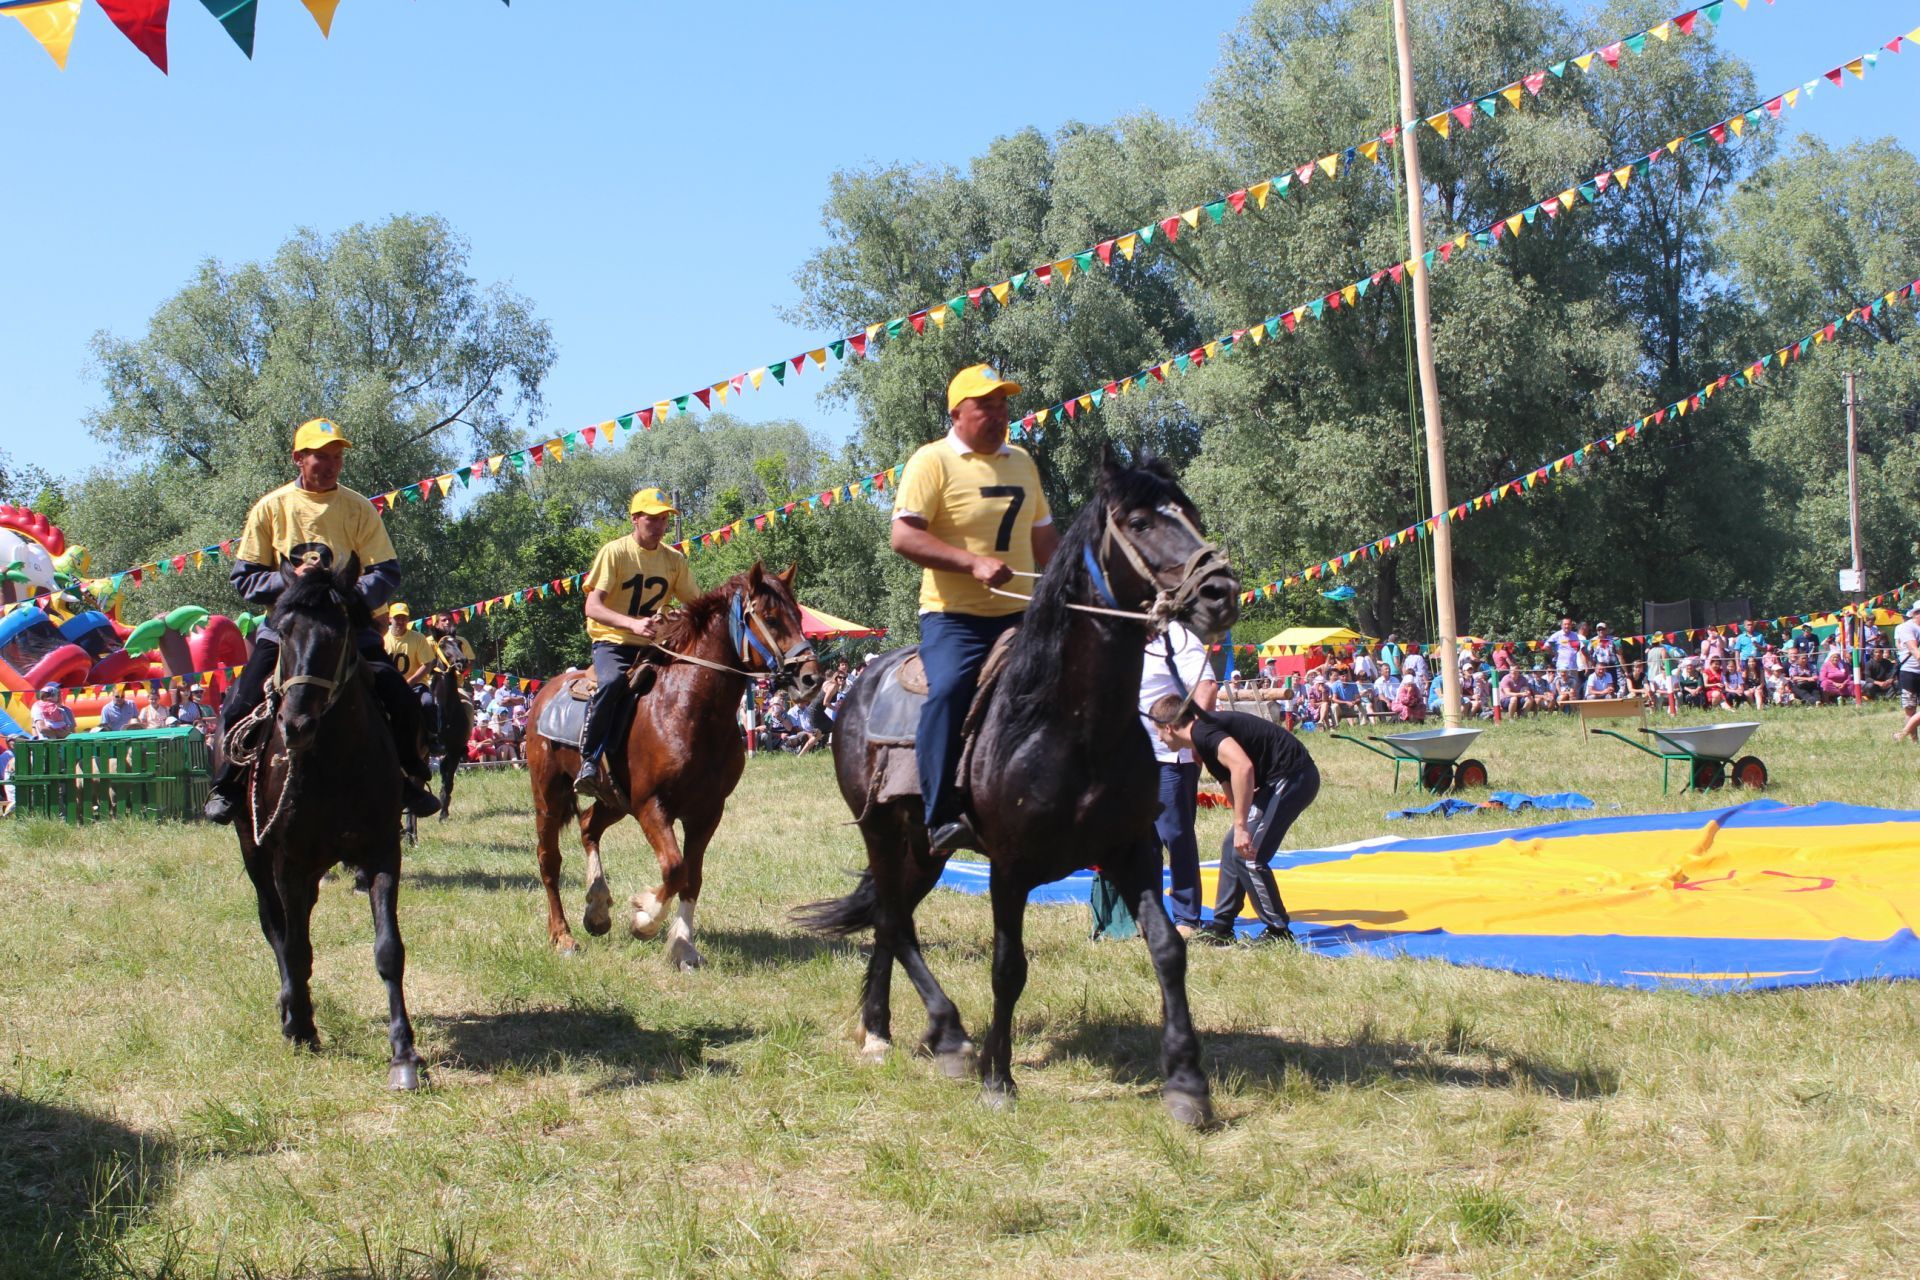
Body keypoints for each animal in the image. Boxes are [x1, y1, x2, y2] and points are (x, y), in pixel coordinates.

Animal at [226, 556, 426, 1090]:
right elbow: (293, 945)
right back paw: (291, 1006)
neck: (333, 762)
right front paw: (300, 1025)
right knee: (276, 928)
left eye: (339, 635)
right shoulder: (286, 862)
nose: (296, 724)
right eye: (283, 632)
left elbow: (388, 950)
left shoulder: (381, 852)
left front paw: (403, 1054)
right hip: (256, 857)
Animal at [529, 564, 821, 967]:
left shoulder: (707, 811)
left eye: (799, 616)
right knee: (549, 861)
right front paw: (644, 918)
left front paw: (683, 945)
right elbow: (674, 867)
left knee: (589, 827)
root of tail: (545, 694)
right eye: (772, 617)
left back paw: (597, 909)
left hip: (613, 800)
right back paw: (563, 936)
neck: (688, 708)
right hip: (549, 796)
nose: (811, 678)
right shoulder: (652, 807)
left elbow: (691, 877)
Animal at [798, 454, 1236, 1128]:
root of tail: (857, 688)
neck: (1071, 723)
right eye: (1139, 521)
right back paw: (946, 1034)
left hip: (925, 849)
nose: (1221, 592)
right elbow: (1009, 967)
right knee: (895, 920)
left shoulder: (1132, 850)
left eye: (1189, 514)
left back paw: (885, 1027)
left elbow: (1167, 950)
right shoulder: (1009, 867)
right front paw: (997, 1078)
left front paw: (1187, 1082)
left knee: (891, 918)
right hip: (882, 832)